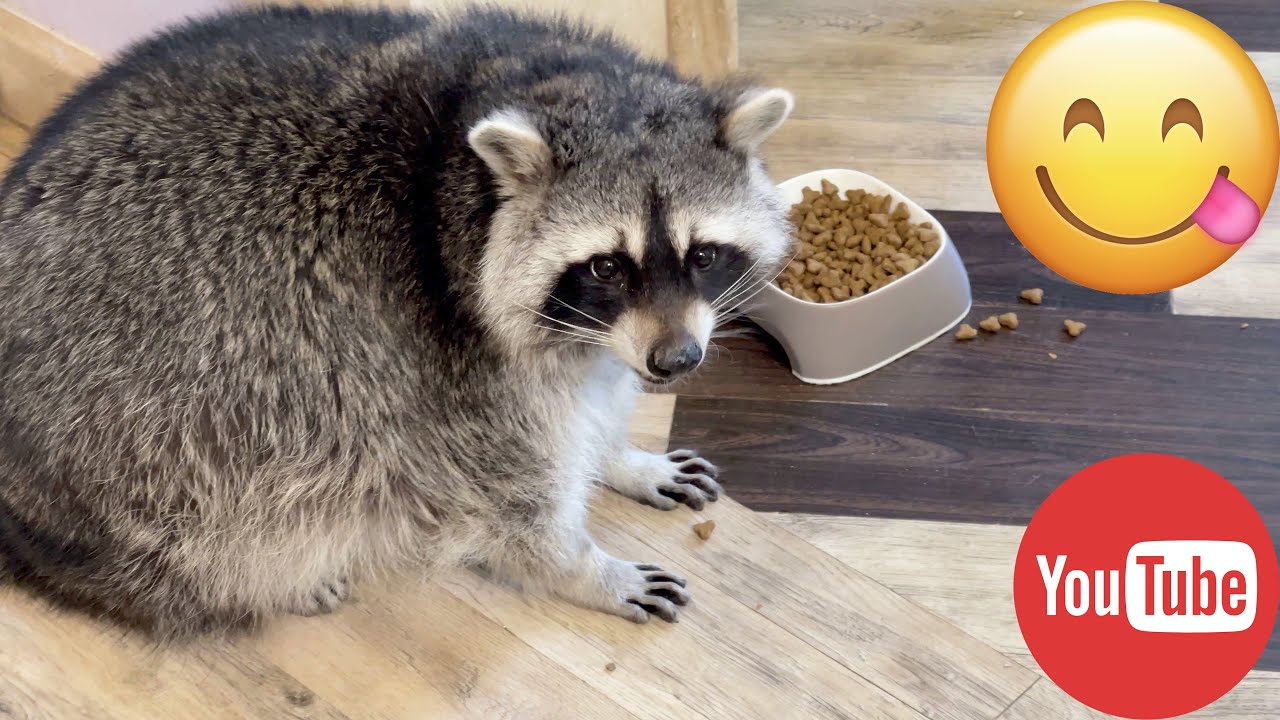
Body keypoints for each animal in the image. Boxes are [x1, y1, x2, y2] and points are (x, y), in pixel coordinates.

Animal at [0, 5, 795, 637]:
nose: (676, 362)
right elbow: (513, 487)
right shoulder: (443, 351)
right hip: (149, 435)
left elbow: (593, 390)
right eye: (605, 267)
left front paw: (618, 455)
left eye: (703, 254)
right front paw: (581, 569)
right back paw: (263, 580)